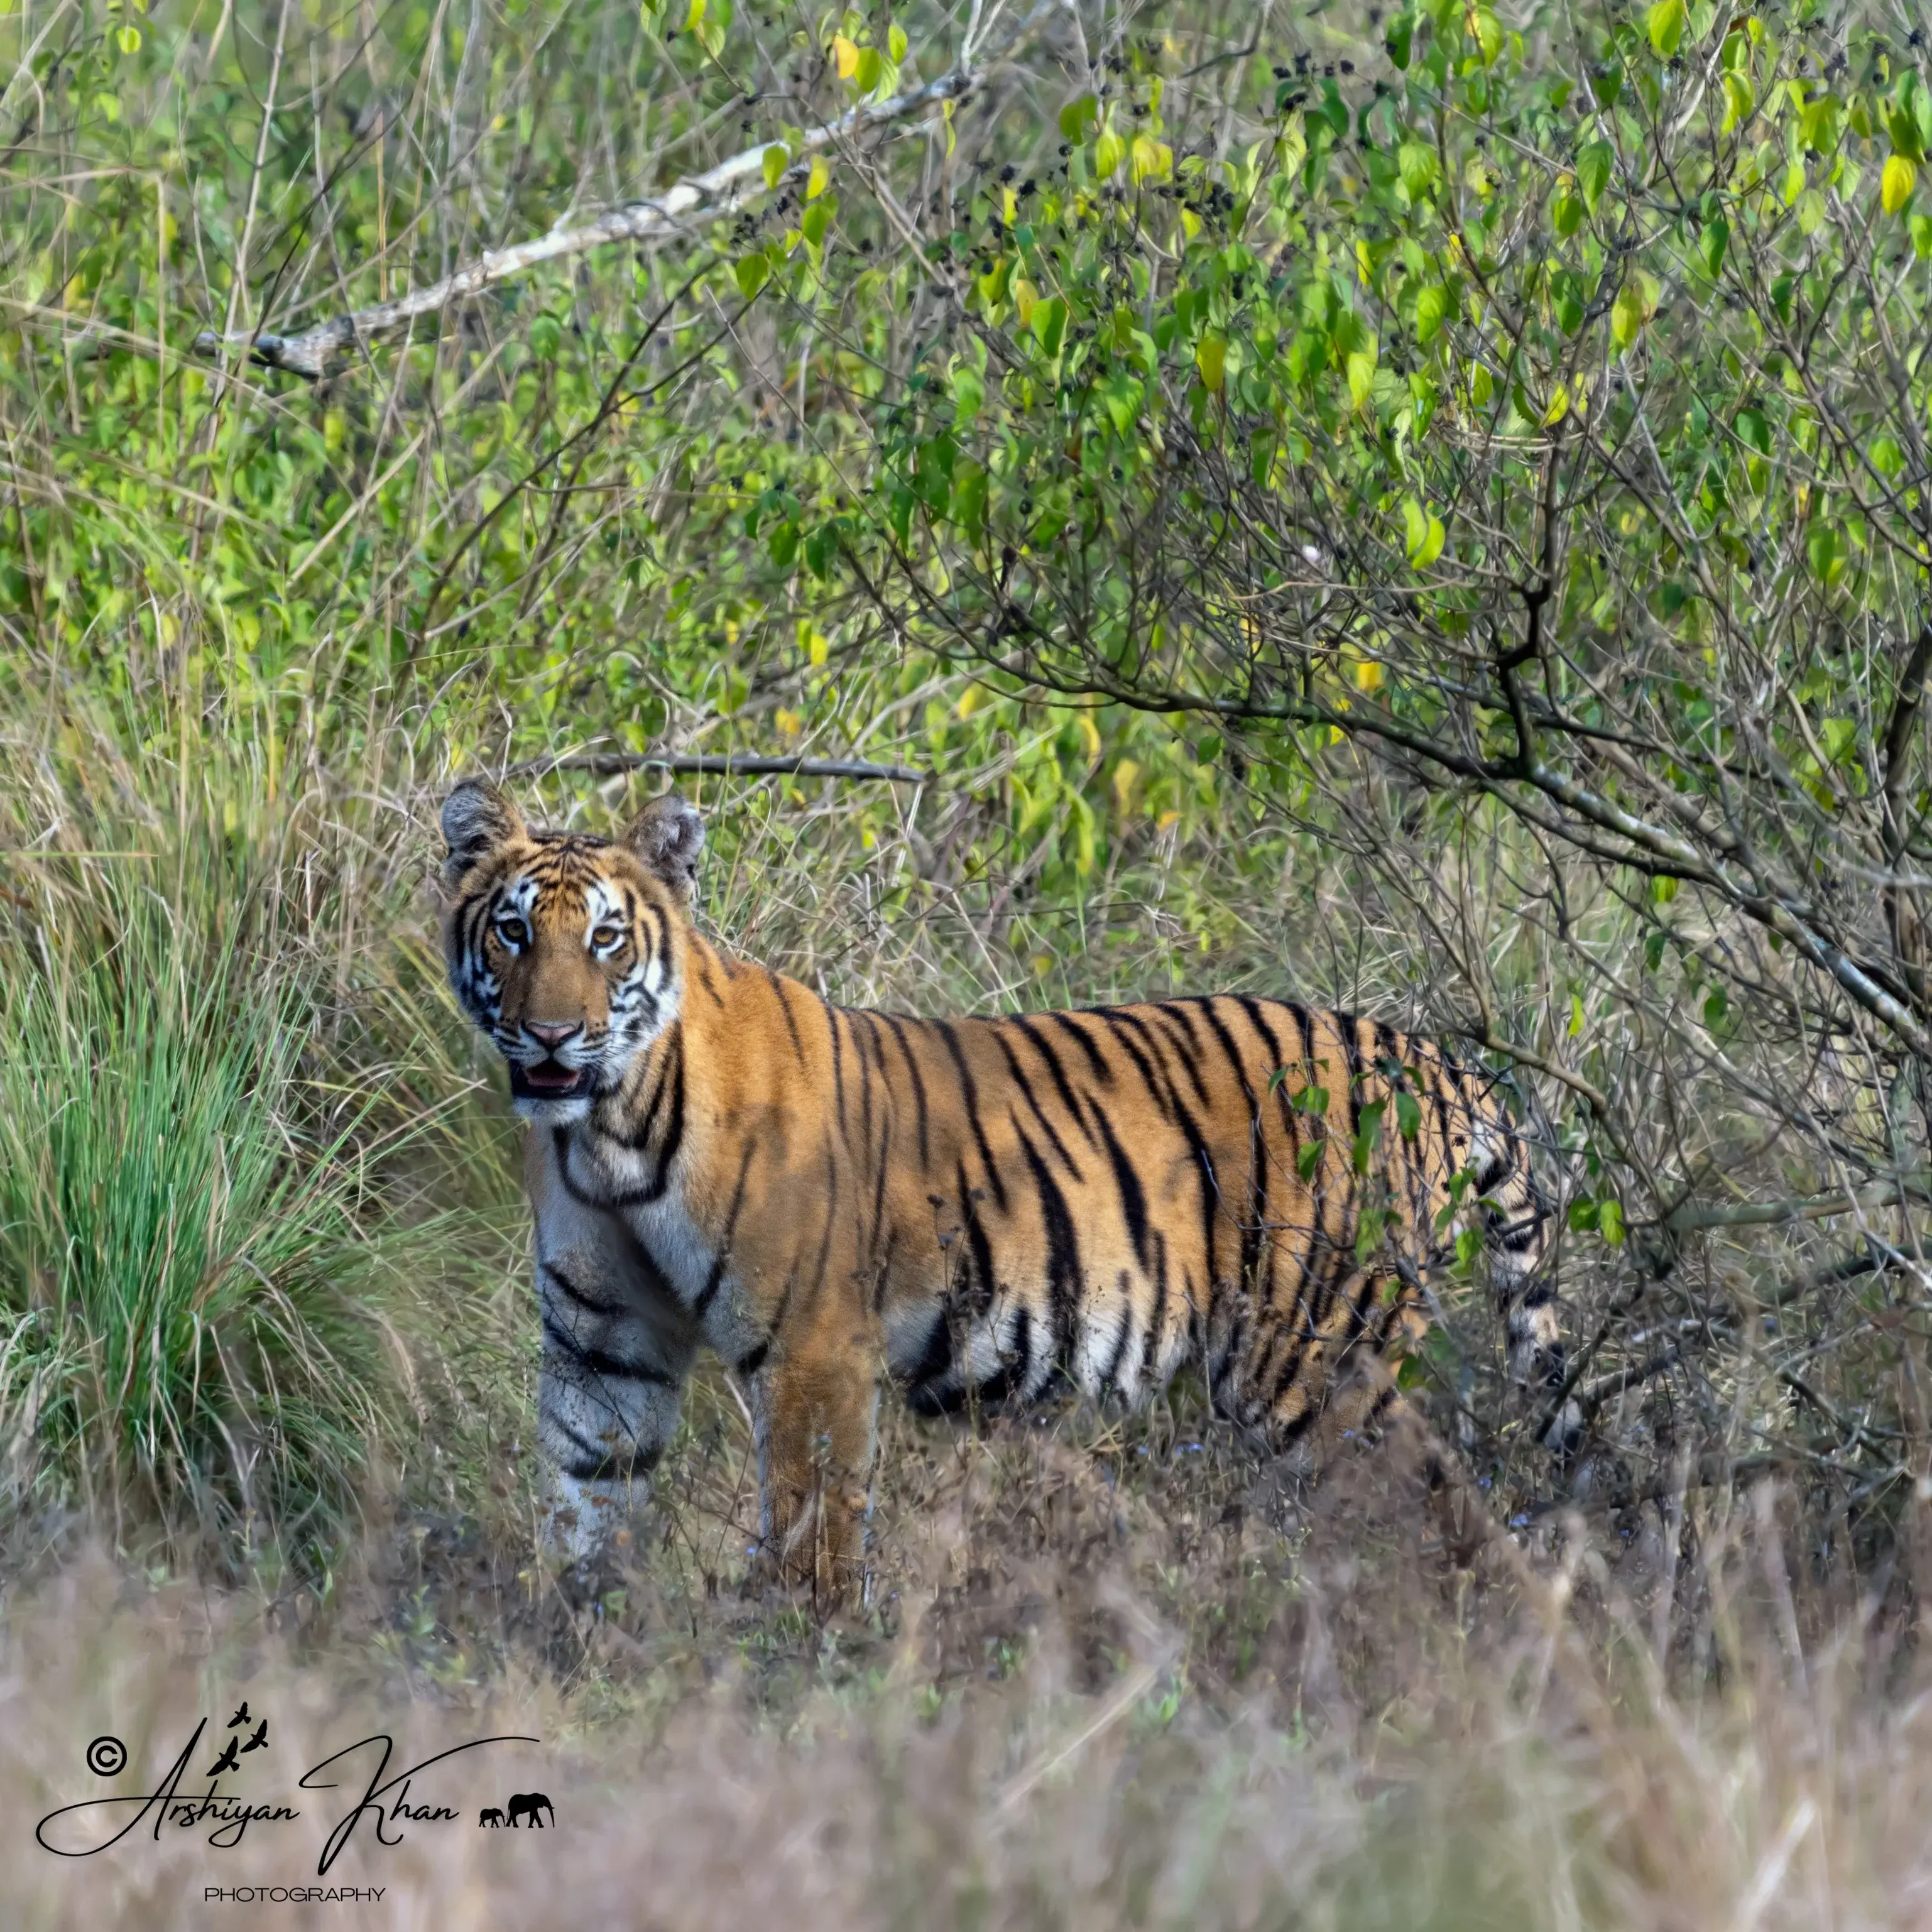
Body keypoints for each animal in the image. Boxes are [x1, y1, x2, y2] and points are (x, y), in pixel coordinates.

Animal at [438, 778, 1570, 1591]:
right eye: (513, 930)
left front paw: (803, 1675)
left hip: (1318, 1365)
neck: (606, 1137)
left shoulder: (812, 1352)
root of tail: (1429, 1056)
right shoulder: (602, 1349)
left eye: (605, 937)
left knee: (1433, 1512)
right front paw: (580, 1657)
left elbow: (813, 1537)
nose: (551, 1034)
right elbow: (586, 1513)